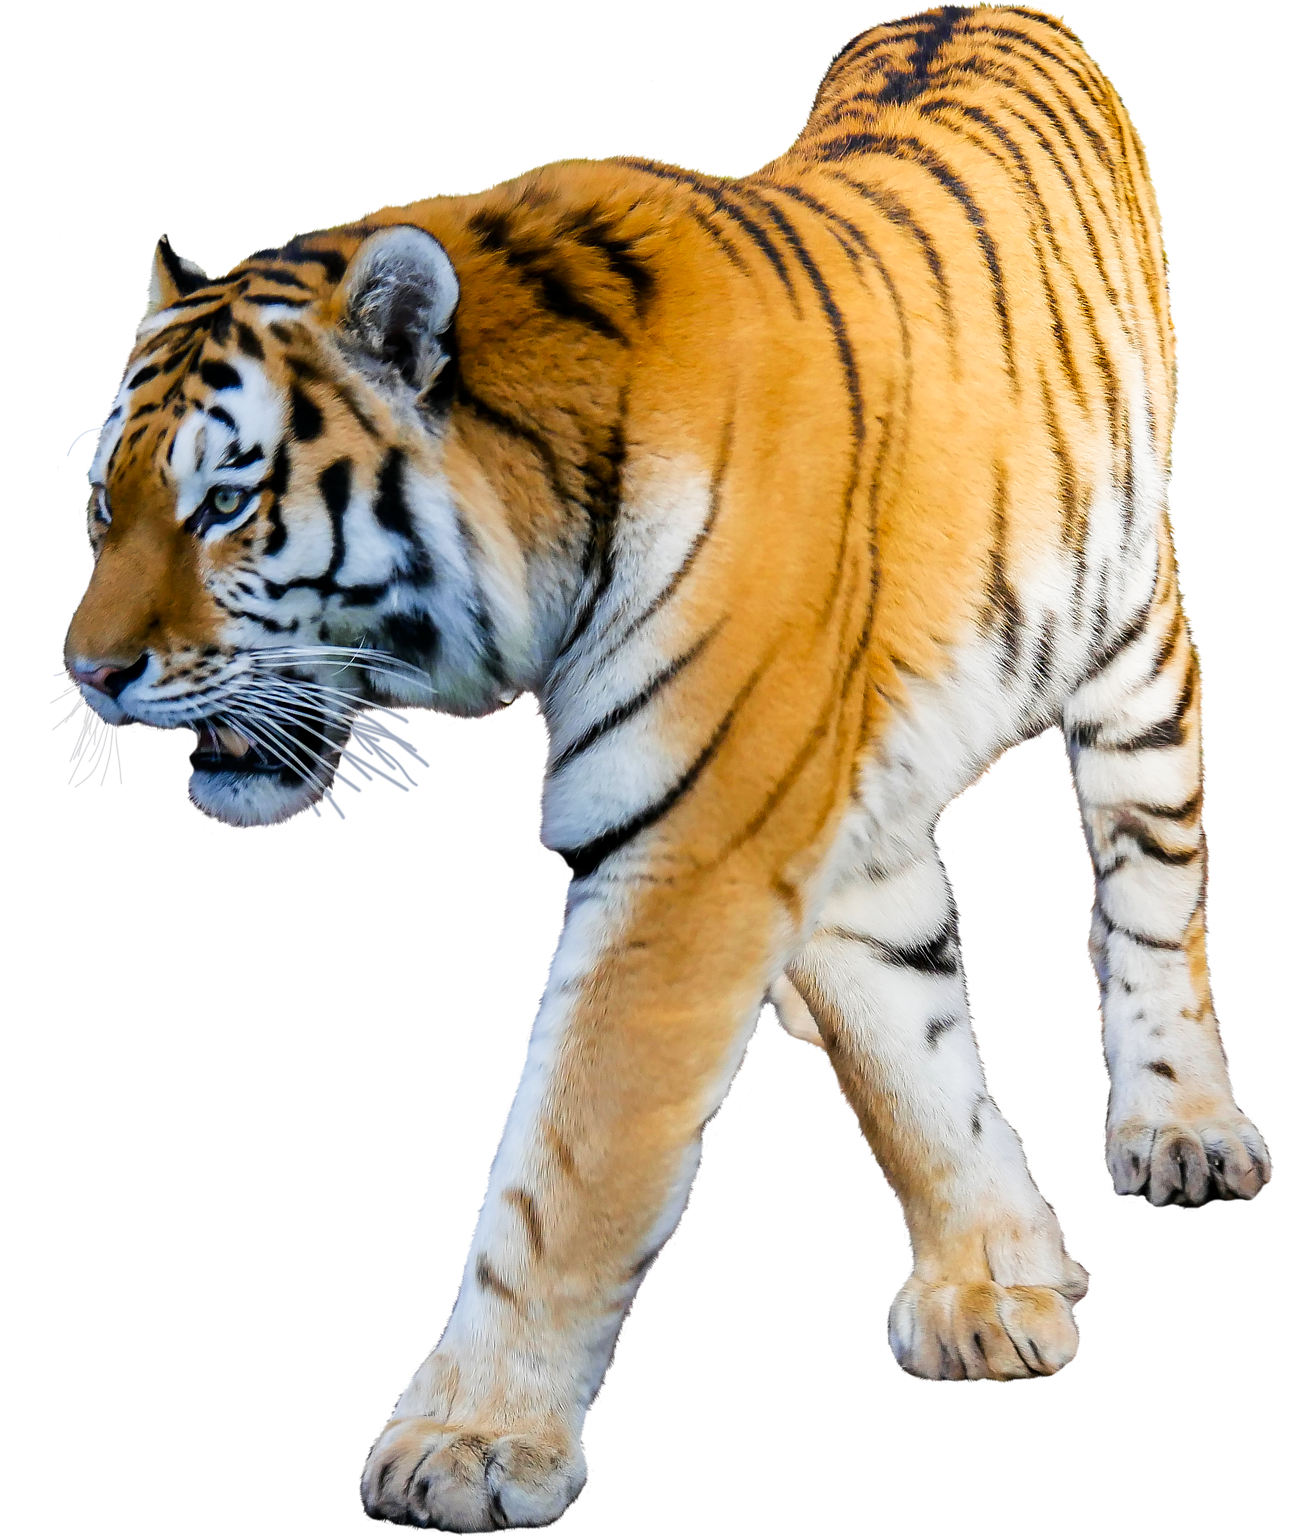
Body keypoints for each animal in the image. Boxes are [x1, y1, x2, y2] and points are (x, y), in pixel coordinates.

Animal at [61, 4, 1270, 1529]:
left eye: (225, 502)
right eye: (105, 504)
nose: (88, 676)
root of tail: (988, 3)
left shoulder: (691, 851)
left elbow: (567, 1168)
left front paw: (469, 1443)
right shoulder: (811, 817)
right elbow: (912, 1057)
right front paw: (994, 1278)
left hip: (1131, 642)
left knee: (1152, 895)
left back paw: (1182, 1127)